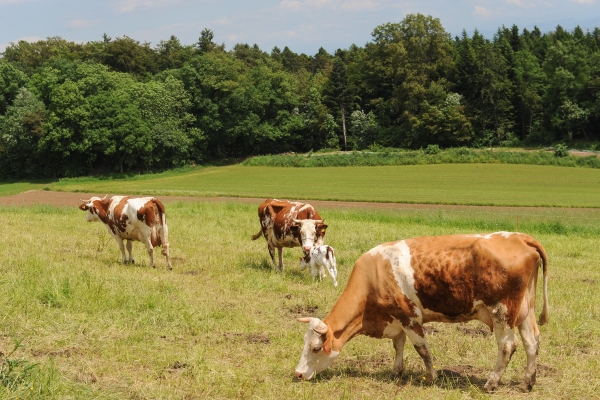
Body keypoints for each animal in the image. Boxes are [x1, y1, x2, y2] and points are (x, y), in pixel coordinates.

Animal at [294, 233, 548, 392]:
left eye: (315, 348)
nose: (297, 374)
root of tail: (518, 237)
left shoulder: (409, 318)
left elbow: (422, 349)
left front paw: (431, 377)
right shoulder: (396, 318)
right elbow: (398, 345)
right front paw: (397, 372)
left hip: (502, 313)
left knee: (507, 346)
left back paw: (491, 383)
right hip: (525, 311)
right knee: (532, 342)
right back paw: (528, 383)